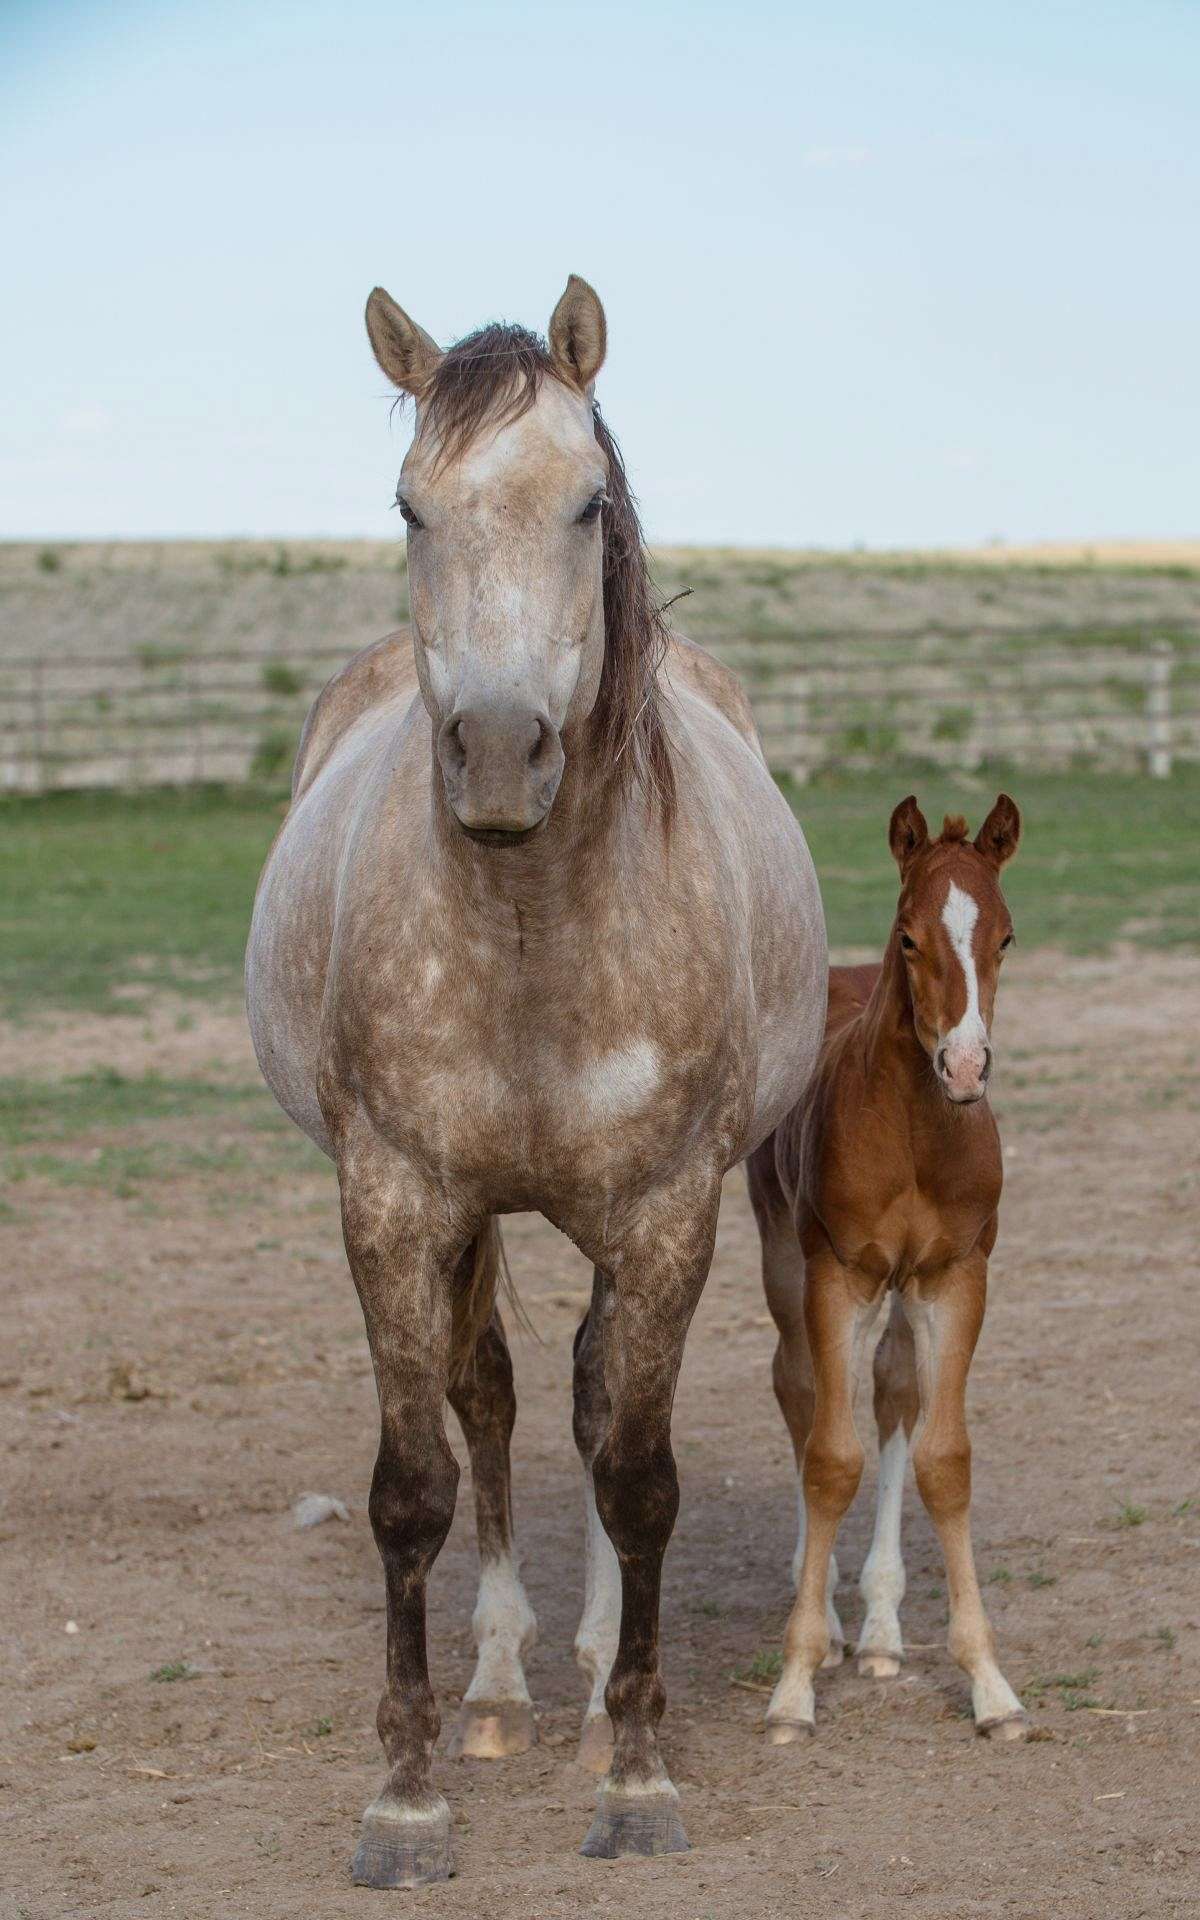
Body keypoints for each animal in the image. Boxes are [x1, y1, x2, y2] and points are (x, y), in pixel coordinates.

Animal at [744, 791, 1021, 1743]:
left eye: (1006, 936)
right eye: (909, 936)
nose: (965, 1066)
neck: (914, 1133)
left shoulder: (955, 1276)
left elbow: (945, 1457)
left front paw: (990, 1687)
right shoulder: (841, 1277)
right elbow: (831, 1458)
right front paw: (794, 1685)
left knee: (895, 1392)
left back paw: (881, 1632)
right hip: (785, 1259)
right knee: (796, 1391)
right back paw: (828, 1618)